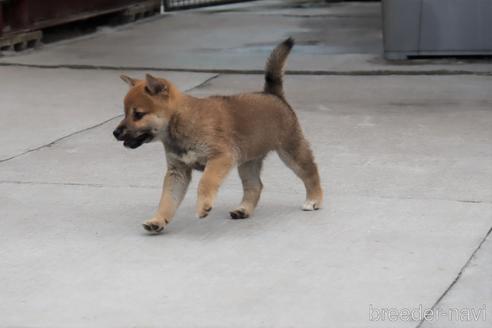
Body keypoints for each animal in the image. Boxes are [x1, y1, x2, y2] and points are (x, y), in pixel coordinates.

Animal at [112, 37, 322, 233]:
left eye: (138, 114)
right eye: (125, 113)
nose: (115, 133)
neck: (182, 122)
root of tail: (273, 94)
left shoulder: (220, 157)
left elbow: (206, 181)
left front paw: (203, 205)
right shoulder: (177, 171)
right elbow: (167, 199)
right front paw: (157, 220)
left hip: (291, 151)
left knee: (310, 172)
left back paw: (314, 199)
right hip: (248, 162)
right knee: (255, 186)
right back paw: (244, 209)